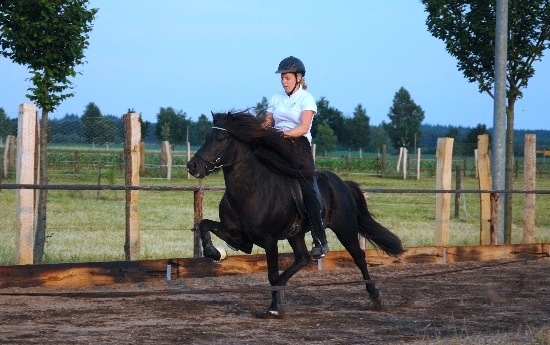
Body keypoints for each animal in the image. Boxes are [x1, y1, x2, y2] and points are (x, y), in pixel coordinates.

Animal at [187, 110, 406, 314]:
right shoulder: (237, 234)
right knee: (303, 258)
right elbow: (204, 224)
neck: (250, 190)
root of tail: (342, 183)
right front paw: (214, 252)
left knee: (358, 257)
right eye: (206, 136)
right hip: (297, 234)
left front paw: (275, 307)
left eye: (221, 139)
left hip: (345, 228)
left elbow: (272, 274)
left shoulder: (269, 240)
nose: (193, 166)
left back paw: (375, 296)